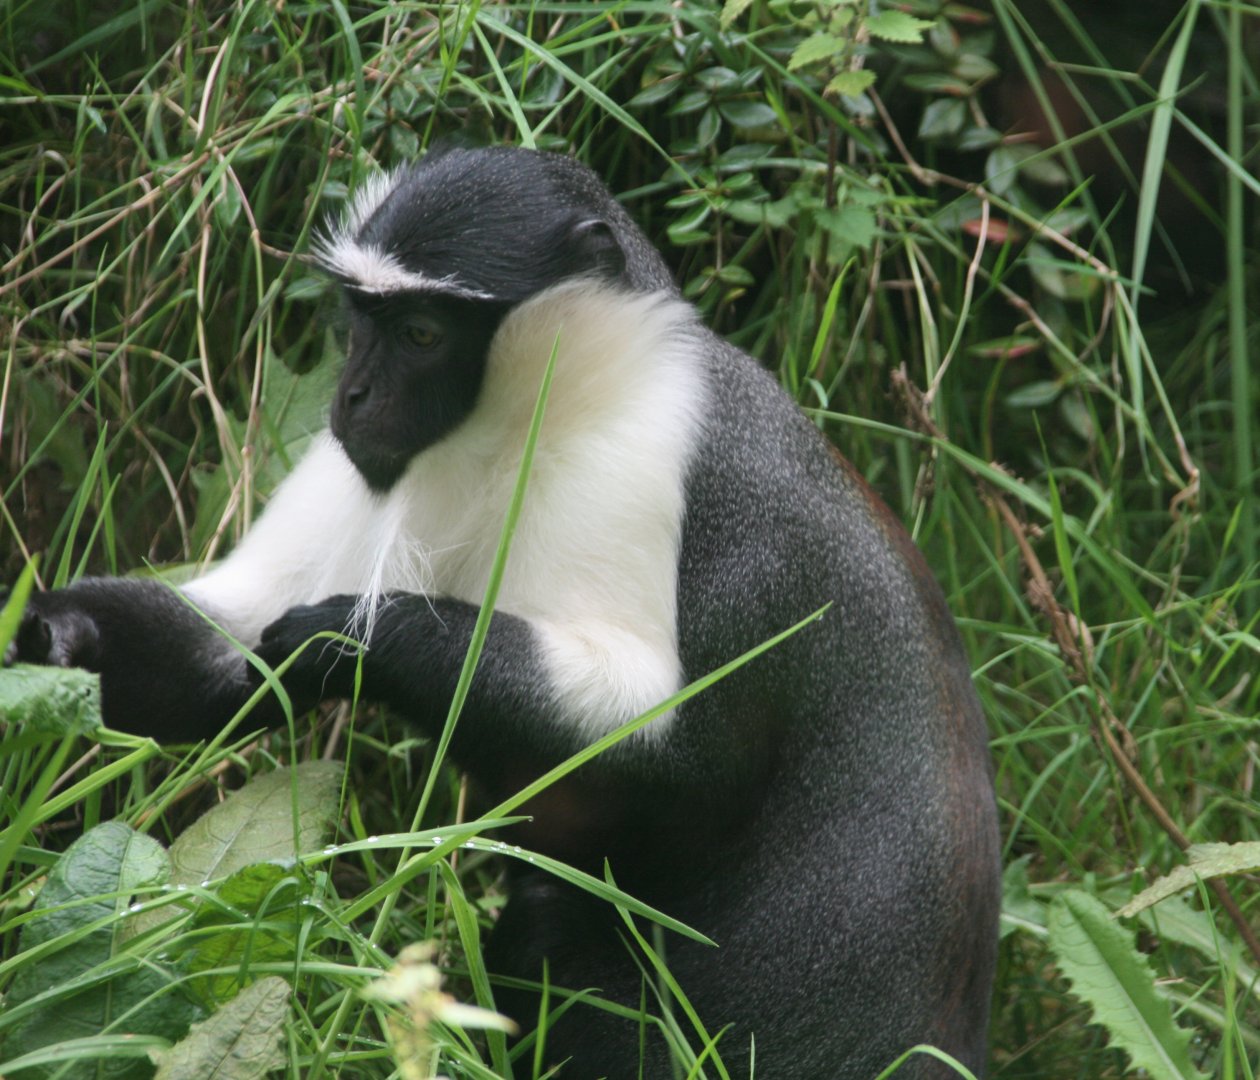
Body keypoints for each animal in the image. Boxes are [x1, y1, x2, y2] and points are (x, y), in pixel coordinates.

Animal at [7, 145, 1000, 1079]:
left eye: (420, 333)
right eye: (360, 321)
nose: (351, 398)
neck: (528, 425)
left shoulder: (658, 471)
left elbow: (694, 765)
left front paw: (353, 640)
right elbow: (232, 652)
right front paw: (43, 643)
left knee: (558, 920)